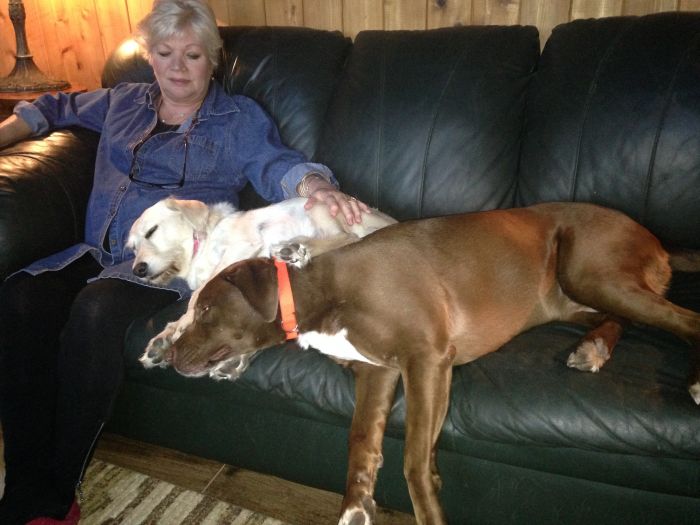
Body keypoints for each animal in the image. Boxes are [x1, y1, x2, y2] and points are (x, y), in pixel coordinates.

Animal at [130, 196, 396, 379]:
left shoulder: (243, 245)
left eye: (152, 231)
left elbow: (198, 294)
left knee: (348, 238)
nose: (137, 270)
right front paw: (164, 340)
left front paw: (180, 325)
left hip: (318, 205)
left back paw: (291, 250)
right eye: (132, 248)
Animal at [150, 202, 700, 524]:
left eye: (204, 309)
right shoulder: (382, 372)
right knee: (620, 319)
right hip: (570, 296)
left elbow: (413, 458)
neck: (321, 291)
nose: (170, 352)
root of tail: (654, 237)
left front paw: (427, 502)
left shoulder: (425, 358)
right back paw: (593, 348)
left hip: (590, 270)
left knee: (683, 318)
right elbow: (364, 443)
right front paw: (357, 506)